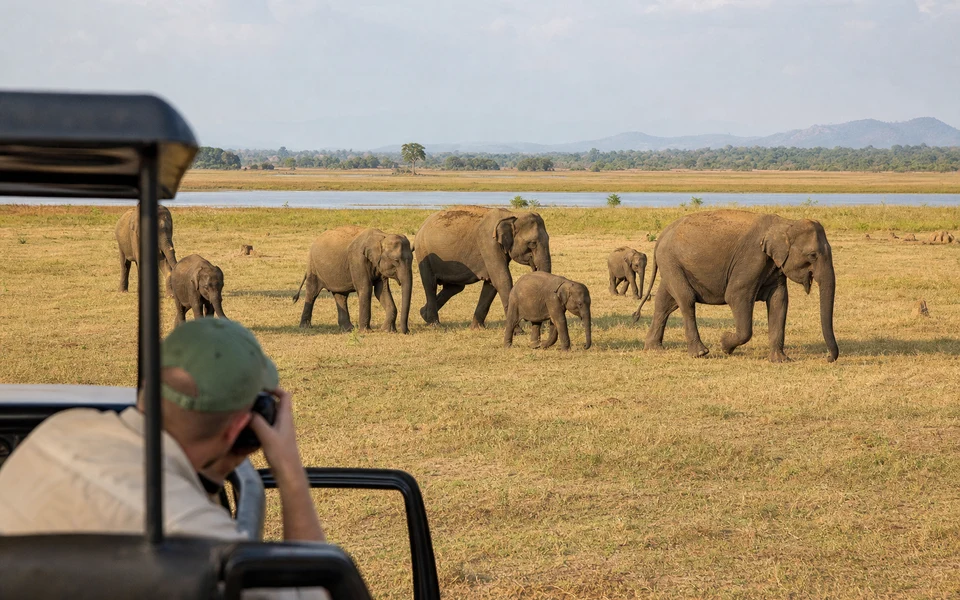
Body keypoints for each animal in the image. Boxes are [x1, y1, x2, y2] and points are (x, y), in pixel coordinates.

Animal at [415, 206, 551, 329]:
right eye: (532, 243)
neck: (512, 214)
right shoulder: (489, 243)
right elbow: (502, 279)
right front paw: (518, 331)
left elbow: (491, 283)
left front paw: (477, 328)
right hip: (423, 252)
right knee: (430, 284)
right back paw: (434, 324)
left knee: (454, 287)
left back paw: (423, 314)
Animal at [632, 209, 838, 363]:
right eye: (813, 255)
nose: (827, 358)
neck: (785, 223)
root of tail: (661, 236)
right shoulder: (751, 259)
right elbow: (736, 296)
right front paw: (724, 344)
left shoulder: (774, 266)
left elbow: (779, 301)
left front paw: (781, 360)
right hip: (672, 261)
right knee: (686, 299)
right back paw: (700, 353)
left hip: (672, 264)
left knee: (665, 302)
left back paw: (654, 348)